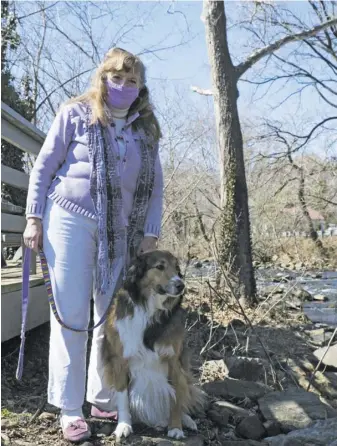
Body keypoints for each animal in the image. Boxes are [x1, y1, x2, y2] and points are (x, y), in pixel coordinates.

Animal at [101, 249, 203, 440]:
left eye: (177, 267)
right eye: (160, 267)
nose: (181, 285)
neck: (150, 310)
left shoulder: (174, 362)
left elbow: (176, 398)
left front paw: (176, 427)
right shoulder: (120, 361)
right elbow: (123, 397)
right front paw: (124, 425)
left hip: (185, 373)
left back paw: (186, 420)